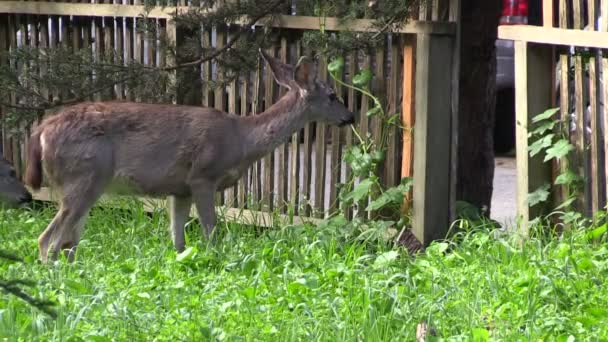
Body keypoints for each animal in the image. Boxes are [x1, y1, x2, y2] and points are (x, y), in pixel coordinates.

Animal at [25, 50, 356, 262]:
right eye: (333, 96)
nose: (350, 116)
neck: (241, 140)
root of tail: (39, 132)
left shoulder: (179, 189)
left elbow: (178, 241)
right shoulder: (202, 176)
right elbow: (212, 233)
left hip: (86, 184)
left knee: (69, 243)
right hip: (84, 175)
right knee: (47, 241)